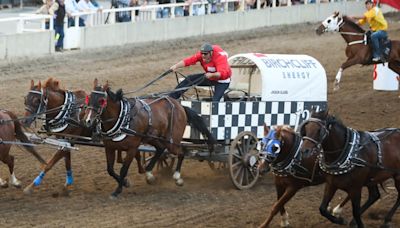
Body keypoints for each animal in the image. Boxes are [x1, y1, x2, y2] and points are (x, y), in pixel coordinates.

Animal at [82, 79, 216, 198]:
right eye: (89, 98)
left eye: (101, 100)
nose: (88, 121)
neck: (123, 118)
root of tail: (180, 106)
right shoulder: (109, 147)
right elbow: (110, 169)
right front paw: (125, 183)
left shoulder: (132, 148)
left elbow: (123, 170)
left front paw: (118, 190)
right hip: (154, 138)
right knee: (161, 150)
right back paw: (149, 174)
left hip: (172, 141)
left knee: (182, 152)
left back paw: (177, 177)